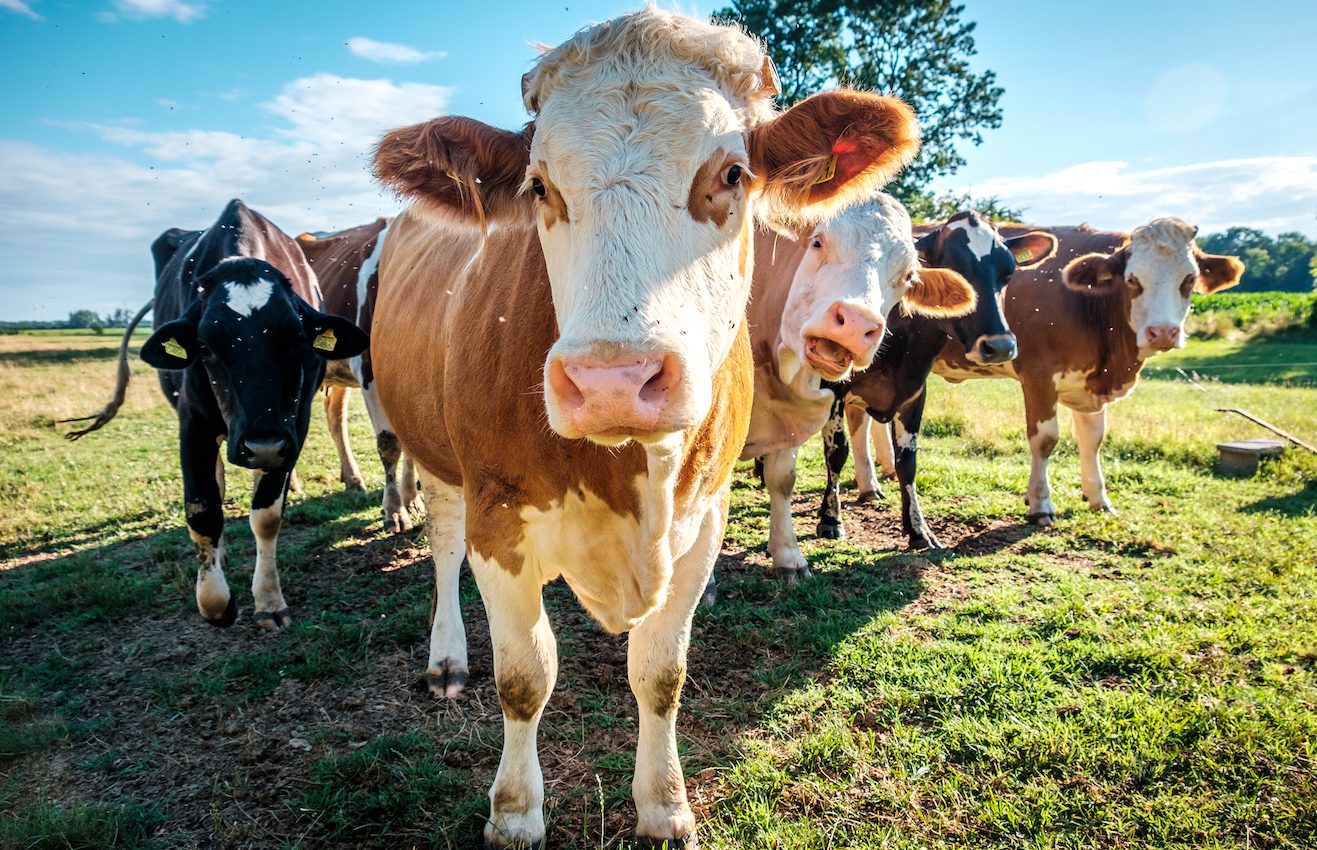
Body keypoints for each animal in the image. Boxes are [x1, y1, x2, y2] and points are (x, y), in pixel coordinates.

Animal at [62, 199, 368, 629]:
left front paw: (268, 599)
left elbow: (266, 514)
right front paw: (215, 601)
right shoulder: (193, 424)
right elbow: (203, 509)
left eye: (296, 342)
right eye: (206, 347)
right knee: (218, 487)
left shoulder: (294, 427)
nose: (262, 443)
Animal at [295, 219, 423, 533]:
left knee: (335, 419)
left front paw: (412, 499)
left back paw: (352, 479)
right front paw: (394, 510)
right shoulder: (369, 370)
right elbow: (389, 444)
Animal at [367, 9, 930, 847]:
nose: (613, 381)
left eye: (731, 175)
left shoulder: (702, 522)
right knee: (440, 543)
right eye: (538, 185)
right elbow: (523, 675)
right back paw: (446, 656)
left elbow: (660, 673)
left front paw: (664, 805)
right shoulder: (498, 519)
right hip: (434, 454)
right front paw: (515, 811)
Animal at [741, 192, 979, 582]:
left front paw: (788, 556)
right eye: (817, 242)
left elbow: (783, 478)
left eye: (907, 277)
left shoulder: (794, 412)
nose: (855, 324)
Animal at [812, 211, 1057, 549]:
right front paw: (830, 519)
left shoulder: (915, 392)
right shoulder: (832, 386)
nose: (1000, 346)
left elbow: (907, 462)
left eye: (1008, 273)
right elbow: (836, 452)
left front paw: (919, 530)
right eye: (956, 274)